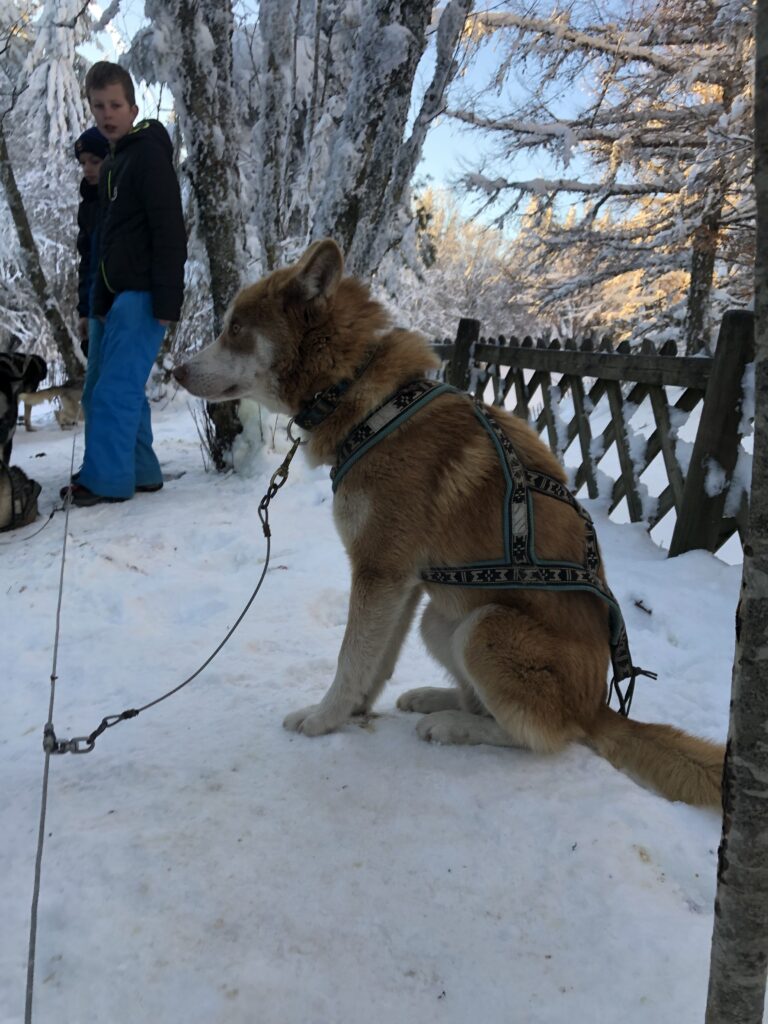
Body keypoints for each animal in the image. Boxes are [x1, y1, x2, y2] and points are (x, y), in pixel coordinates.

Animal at [174, 239, 723, 807]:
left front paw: (324, 718)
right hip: (441, 620)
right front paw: (354, 712)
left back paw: (454, 726)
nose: (175, 371)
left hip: (485, 627)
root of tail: (598, 708)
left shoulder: (379, 573)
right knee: (484, 699)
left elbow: (351, 658)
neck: (366, 400)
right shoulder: (403, 584)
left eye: (237, 328)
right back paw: (437, 700)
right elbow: (376, 659)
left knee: (545, 735)